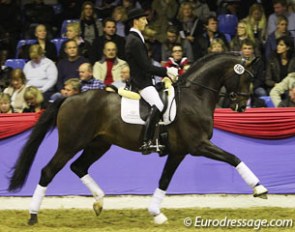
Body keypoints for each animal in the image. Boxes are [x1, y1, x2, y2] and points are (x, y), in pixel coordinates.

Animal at [8, 53, 268, 225]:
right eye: (246, 78)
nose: (242, 106)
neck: (195, 96)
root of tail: (69, 98)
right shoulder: (198, 145)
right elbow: (233, 157)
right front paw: (260, 188)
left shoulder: (178, 151)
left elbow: (164, 180)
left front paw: (156, 213)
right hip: (71, 144)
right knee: (48, 171)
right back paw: (33, 216)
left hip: (99, 144)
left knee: (78, 167)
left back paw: (99, 202)